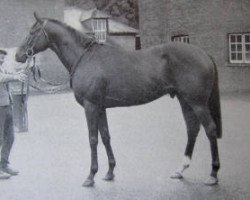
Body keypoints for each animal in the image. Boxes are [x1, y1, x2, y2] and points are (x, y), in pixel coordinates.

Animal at [15, 12, 222, 188]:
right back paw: (180, 170)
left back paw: (213, 174)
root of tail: (204, 54)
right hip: (185, 100)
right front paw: (109, 172)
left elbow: (93, 139)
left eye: (32, 32)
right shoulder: (100, 107)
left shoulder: (91, 106)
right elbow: (105, 136)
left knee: (210, 129)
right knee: (192, 129)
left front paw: (90, 176)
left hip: (197, 103)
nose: (18, 55)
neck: (85, 58)